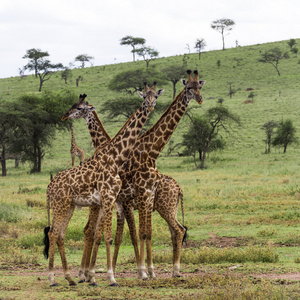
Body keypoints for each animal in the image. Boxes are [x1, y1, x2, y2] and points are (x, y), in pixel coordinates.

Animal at [42, 81, 162, 288]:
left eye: (155, 96)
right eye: (145, 96)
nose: (150, 106)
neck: (114, 158)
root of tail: (49, 188)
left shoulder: (108, 199)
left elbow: (102, 235)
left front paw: (94, 277)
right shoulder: (107, 198)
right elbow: (107, 236)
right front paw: (110, 278)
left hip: (69, 206)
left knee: (60, 235)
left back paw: (70, 278)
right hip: (61, 205)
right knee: (53, 233)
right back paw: (52, 279)